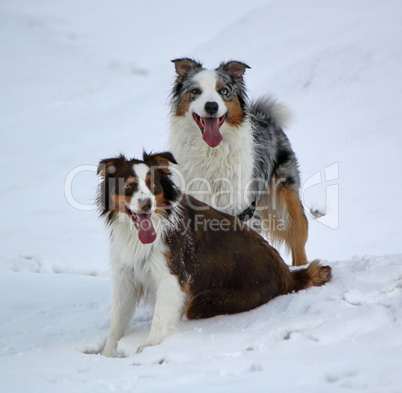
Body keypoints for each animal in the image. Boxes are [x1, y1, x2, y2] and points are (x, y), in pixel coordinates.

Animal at [96, 152, 330, 354]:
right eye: (128, 185)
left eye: (153, 185)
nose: (146, 204)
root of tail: (287, 274)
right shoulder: (126, 275)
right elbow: (117, 320)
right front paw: (107, 354)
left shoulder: (172, 277)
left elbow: (160, 318)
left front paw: (148, 348)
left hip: (208, 301)